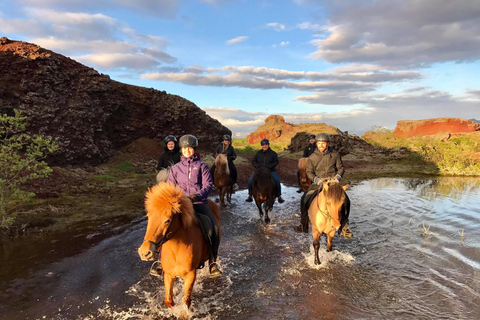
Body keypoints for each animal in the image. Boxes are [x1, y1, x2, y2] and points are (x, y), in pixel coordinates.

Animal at [137, 182, 221, 310]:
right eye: (148, 216)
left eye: (167, 220)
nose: (145, 252)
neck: (176, 249)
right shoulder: (168, 275)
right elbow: (168, 301)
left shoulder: (190, 274)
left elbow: (186, 302)